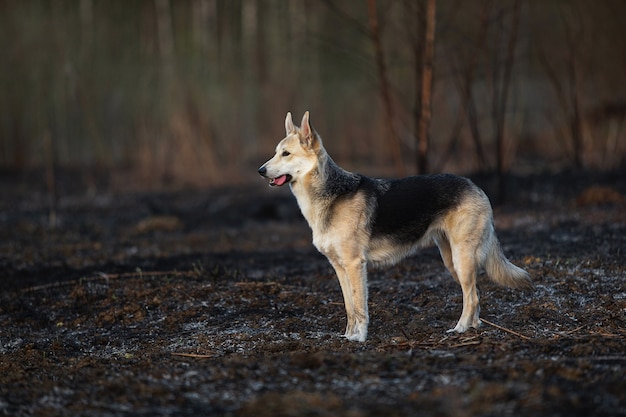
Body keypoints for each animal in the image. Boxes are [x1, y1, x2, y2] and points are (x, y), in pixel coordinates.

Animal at [256, 111, 528, 342]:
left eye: (286, 154)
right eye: (276, 152)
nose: (260, 170)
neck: (331, 194)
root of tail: (476, 186)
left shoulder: (355, 265)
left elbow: (360, 307)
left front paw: (359, 338)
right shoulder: (339, 267)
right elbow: (349, 307)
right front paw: (347, 337)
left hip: (462, 259)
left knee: (471, 298)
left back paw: (459, 329)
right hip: (452, 261)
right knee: (475, 297)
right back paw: (471, 328)